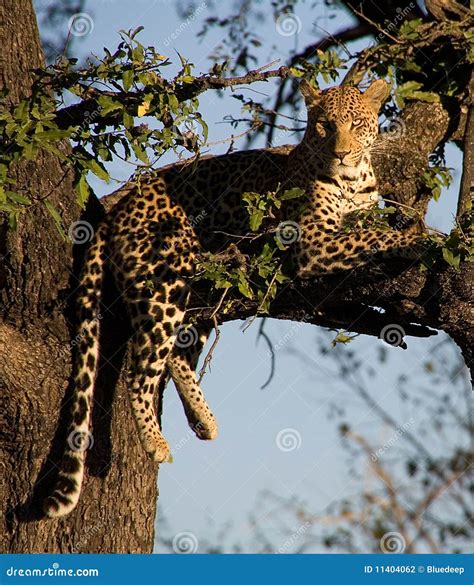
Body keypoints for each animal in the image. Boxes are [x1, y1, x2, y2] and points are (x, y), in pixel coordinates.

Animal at [43, 77, 422, 516]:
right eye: (325, 125)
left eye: (356, 124)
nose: (341, 154)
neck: (353, 179)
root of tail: (121, 208)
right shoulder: (311, 241)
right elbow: (372, 236)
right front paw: (421, 239)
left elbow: (368, 227)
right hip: (167, 277)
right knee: (142, 364)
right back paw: (156, 442)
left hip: (202, 287)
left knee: (177, 352)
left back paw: (204, 420)